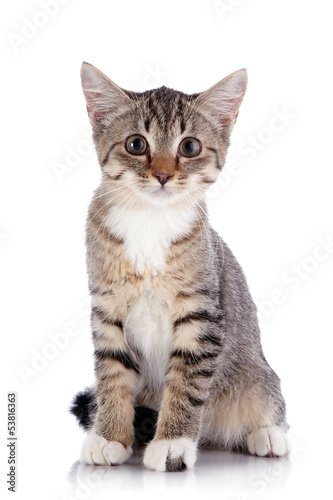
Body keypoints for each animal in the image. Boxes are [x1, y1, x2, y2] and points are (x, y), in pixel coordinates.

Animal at [70, 60, 288, 470]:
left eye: (189, 147)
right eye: (136, 144)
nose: (163, 174)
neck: (150, 221)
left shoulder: (201, 314)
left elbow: (186, 383)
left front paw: (172, 442)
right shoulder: (106, 310)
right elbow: (112, 376)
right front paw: (110, 436)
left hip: (258, 376)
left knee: (265, 400)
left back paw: (266, 433)